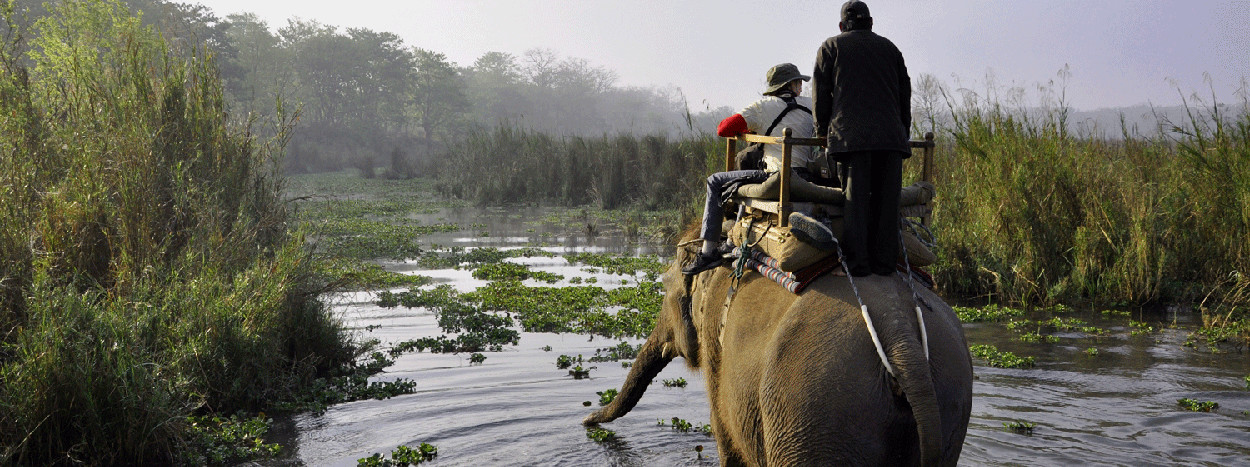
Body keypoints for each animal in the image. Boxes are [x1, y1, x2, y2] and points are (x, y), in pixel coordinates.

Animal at [580, 242, 970, 464]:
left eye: (665, 289)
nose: (584, 421)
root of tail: (899, 331)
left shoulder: (717, 348)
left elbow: (724, 431)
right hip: (949, 400)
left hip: (814, 409)